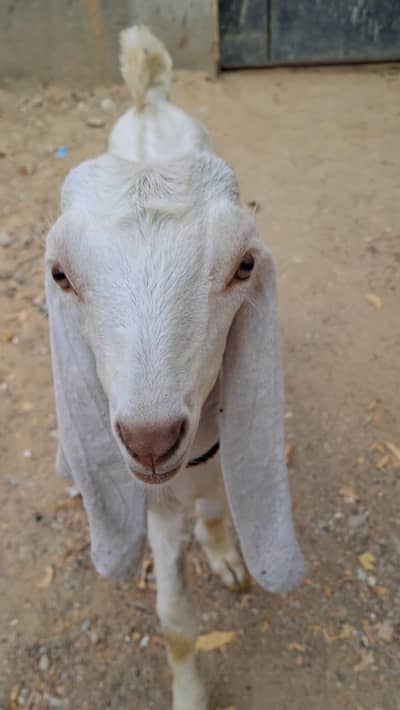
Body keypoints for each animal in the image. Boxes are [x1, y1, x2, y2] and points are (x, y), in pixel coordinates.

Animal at [45, 25, 305, 710]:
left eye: (244, 266)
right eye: (60, 275)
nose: (150, 440)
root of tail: (150, 99)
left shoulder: (213, 452)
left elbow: (215, 509)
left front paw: (225, 556)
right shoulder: (156, 504)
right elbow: (176, 622)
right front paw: (190, 693)